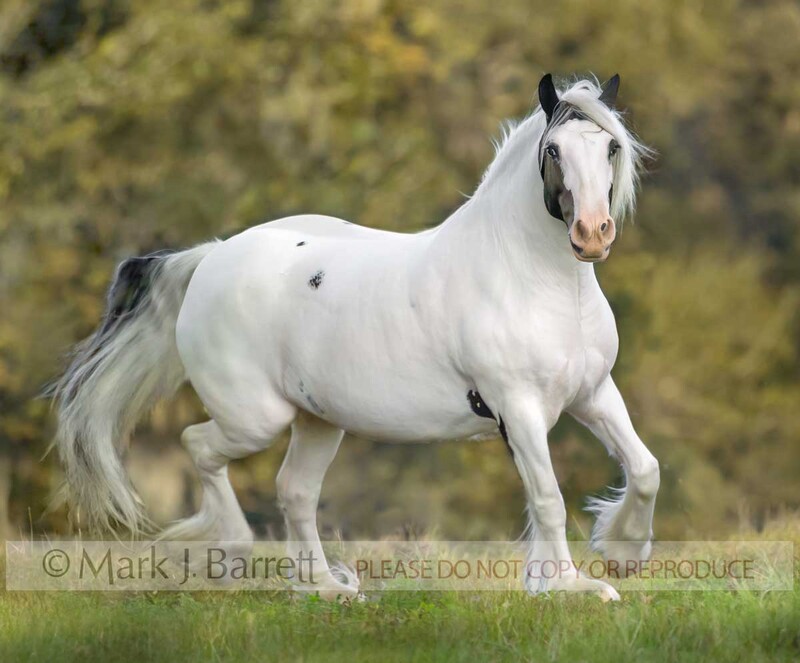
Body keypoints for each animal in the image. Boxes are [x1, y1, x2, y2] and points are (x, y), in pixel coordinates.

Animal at [52, 74, 659, 602]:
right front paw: (575, 588)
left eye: (610, 146)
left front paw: (621, 554)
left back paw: (325, 588)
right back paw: (232, 553)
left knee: (295, 491)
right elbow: (549, 498)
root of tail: (210, 258)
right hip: (255, 418)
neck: (534, 279)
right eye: (553, 149)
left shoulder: (592, 394)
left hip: (318, 421)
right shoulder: (518, 407)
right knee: (199, 446)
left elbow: (644, 469)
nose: (592, 234)